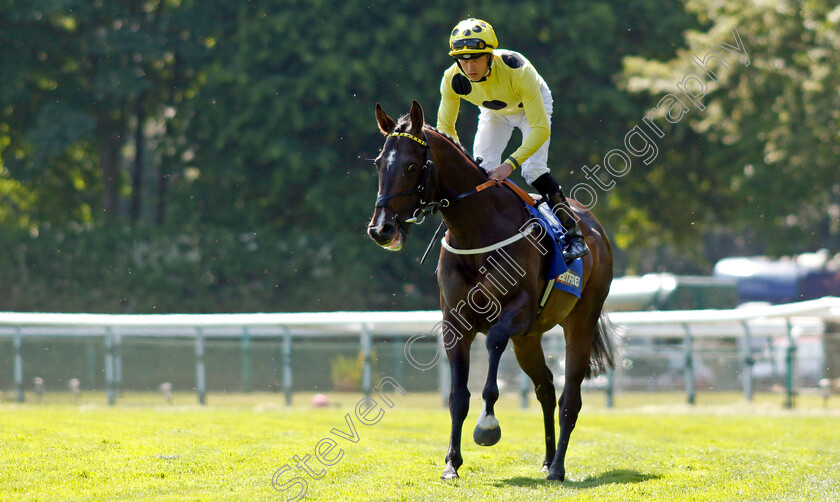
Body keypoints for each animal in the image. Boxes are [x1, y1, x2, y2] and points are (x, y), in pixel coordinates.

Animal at [368, 100, 616, 480]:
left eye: (411, 166)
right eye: (380, 163)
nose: (382, 230)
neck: (477, 230)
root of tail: (595, 228)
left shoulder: (518, 312)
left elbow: (494, 348)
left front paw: (487, 426)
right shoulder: (455, 324)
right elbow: (458, 396)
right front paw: (451, 464)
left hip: (580, 320)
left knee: (569, 397)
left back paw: (558, 467)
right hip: (529, 339)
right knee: (546, 388)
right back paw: (547, 459)